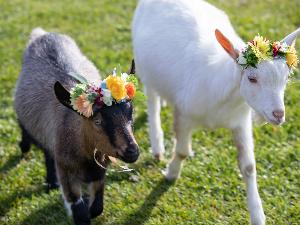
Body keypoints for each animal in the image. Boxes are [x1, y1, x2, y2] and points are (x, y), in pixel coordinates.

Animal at [132, 0, 298, 224]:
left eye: (286, 78)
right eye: (251, 78)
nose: (278, 114)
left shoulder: (240, 122)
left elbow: (248, 167)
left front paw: (258, 216)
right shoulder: (184, 113)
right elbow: (182, 151)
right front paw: (171, 173)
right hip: (145, 68)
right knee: (152, 100)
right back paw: (157, 146)